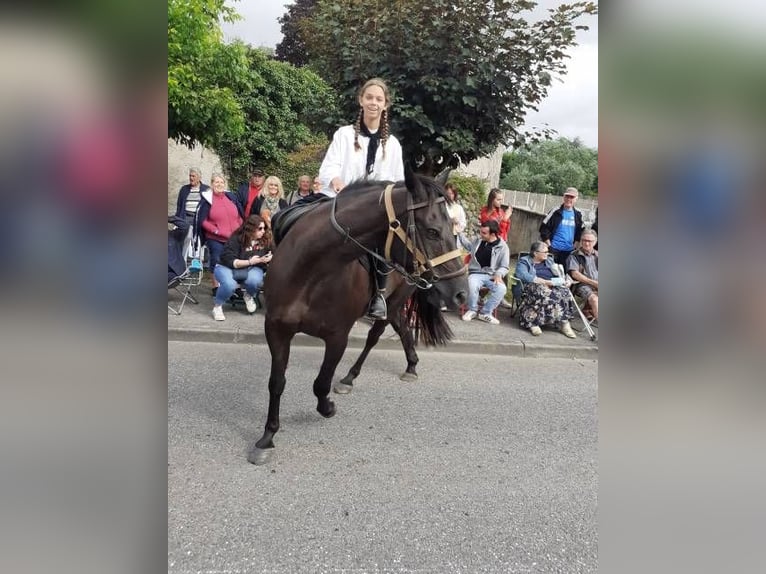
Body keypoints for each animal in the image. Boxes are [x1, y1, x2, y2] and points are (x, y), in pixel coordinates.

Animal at [252, 169, 468, 466]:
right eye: (432, 231)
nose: (461, 293)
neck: (310, 271)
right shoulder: (276, 330)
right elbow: (276, 383)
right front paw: (267, 437)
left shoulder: (337, 337)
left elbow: (321, 383)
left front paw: (327, 407)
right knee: (402, 328)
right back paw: (410, 365)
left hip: (395, 300)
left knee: (376, 335)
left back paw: (352, 377)